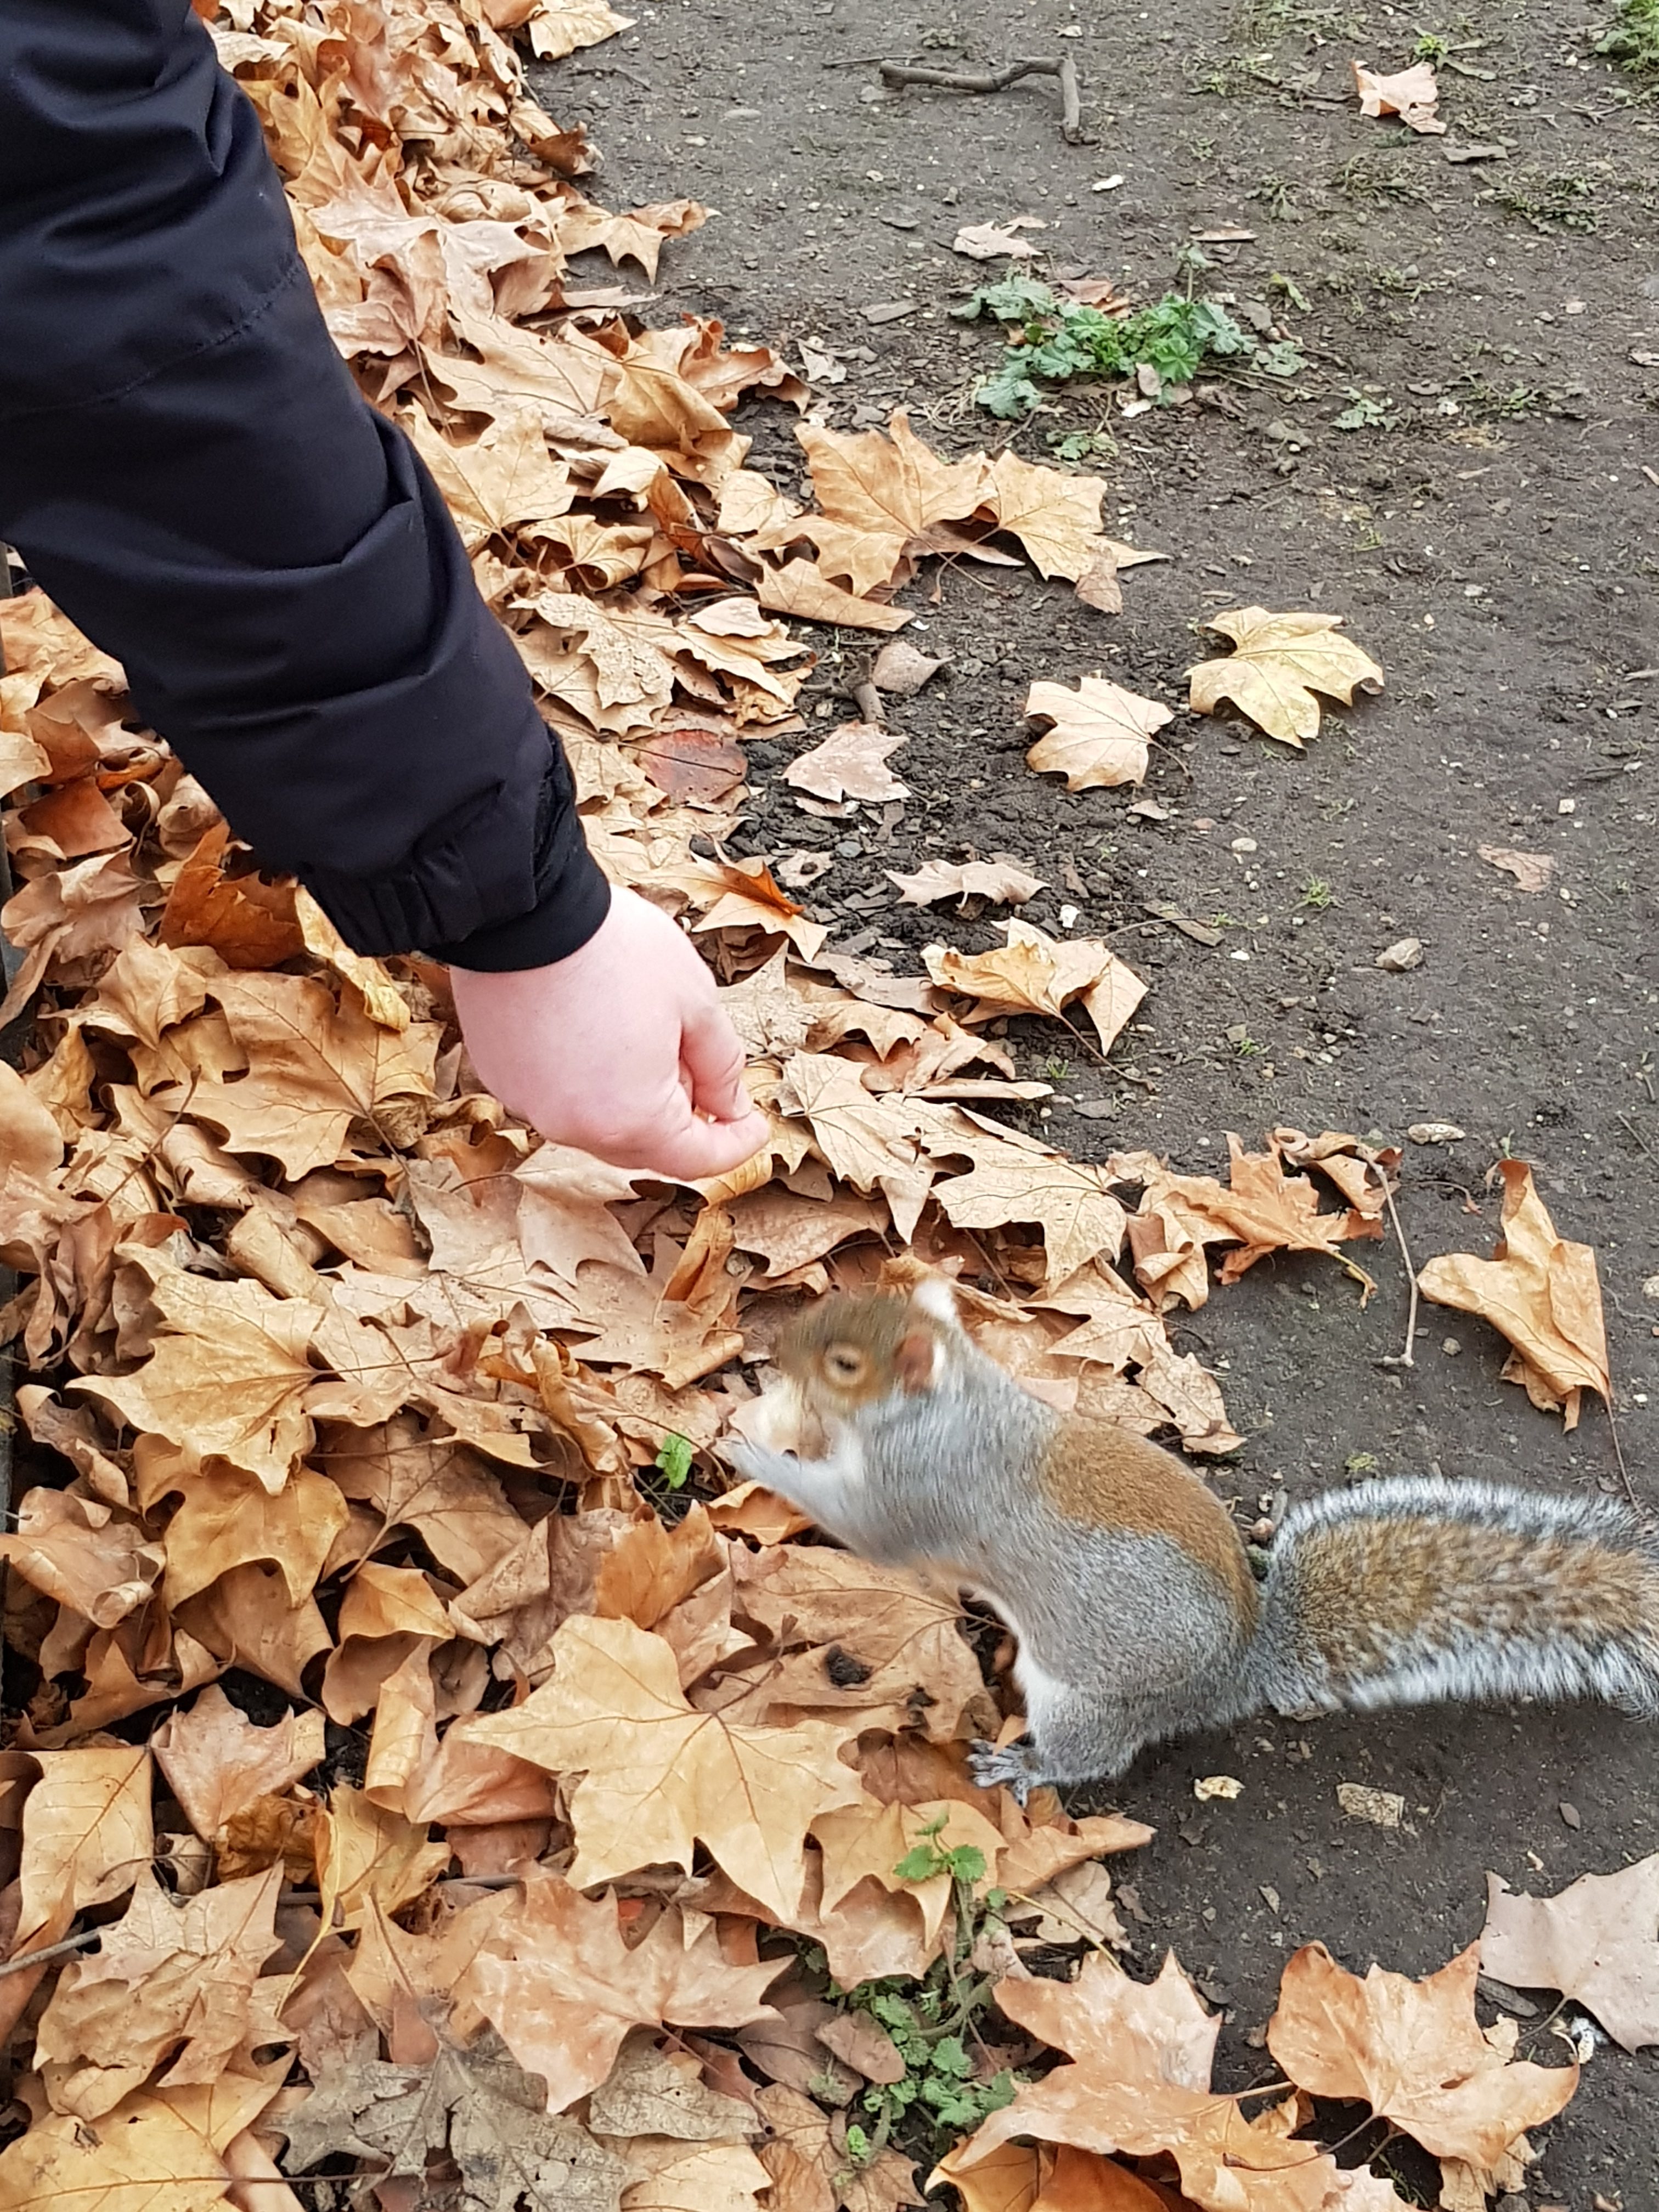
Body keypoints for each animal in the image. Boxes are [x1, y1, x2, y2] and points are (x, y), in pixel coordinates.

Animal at [725, 1283, 1659, 1796]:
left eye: (846, 1365)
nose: (776, 1344)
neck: (948, 1404)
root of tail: (1235, 1672)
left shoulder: (918, 1492)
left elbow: (863, 1528)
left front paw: (753, 1450)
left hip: (1088, 1699)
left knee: (1092, 1759)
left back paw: (1026, 1768)